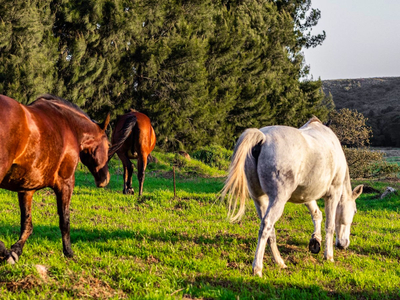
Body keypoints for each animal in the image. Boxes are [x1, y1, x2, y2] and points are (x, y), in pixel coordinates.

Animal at [0, 95, 110, 264]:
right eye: (109, 145)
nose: (105, 179)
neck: (69, 125)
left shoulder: (26, 188)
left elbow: (27, 224)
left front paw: (15, 251)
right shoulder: (66, 183)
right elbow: (64, 220)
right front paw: (69, 252)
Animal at [222, 116, 362, 276]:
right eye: (355, 211)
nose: (344, 244)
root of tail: (262, 138)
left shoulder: (307, 195)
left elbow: (317, 214)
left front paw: (315, 241)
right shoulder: (333, 194)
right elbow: (330, 225)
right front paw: (329, 256)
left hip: (260, 199)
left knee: (270, 230)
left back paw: (280, 262)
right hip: (278, 199)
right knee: (266, 226)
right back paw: (257, 268)